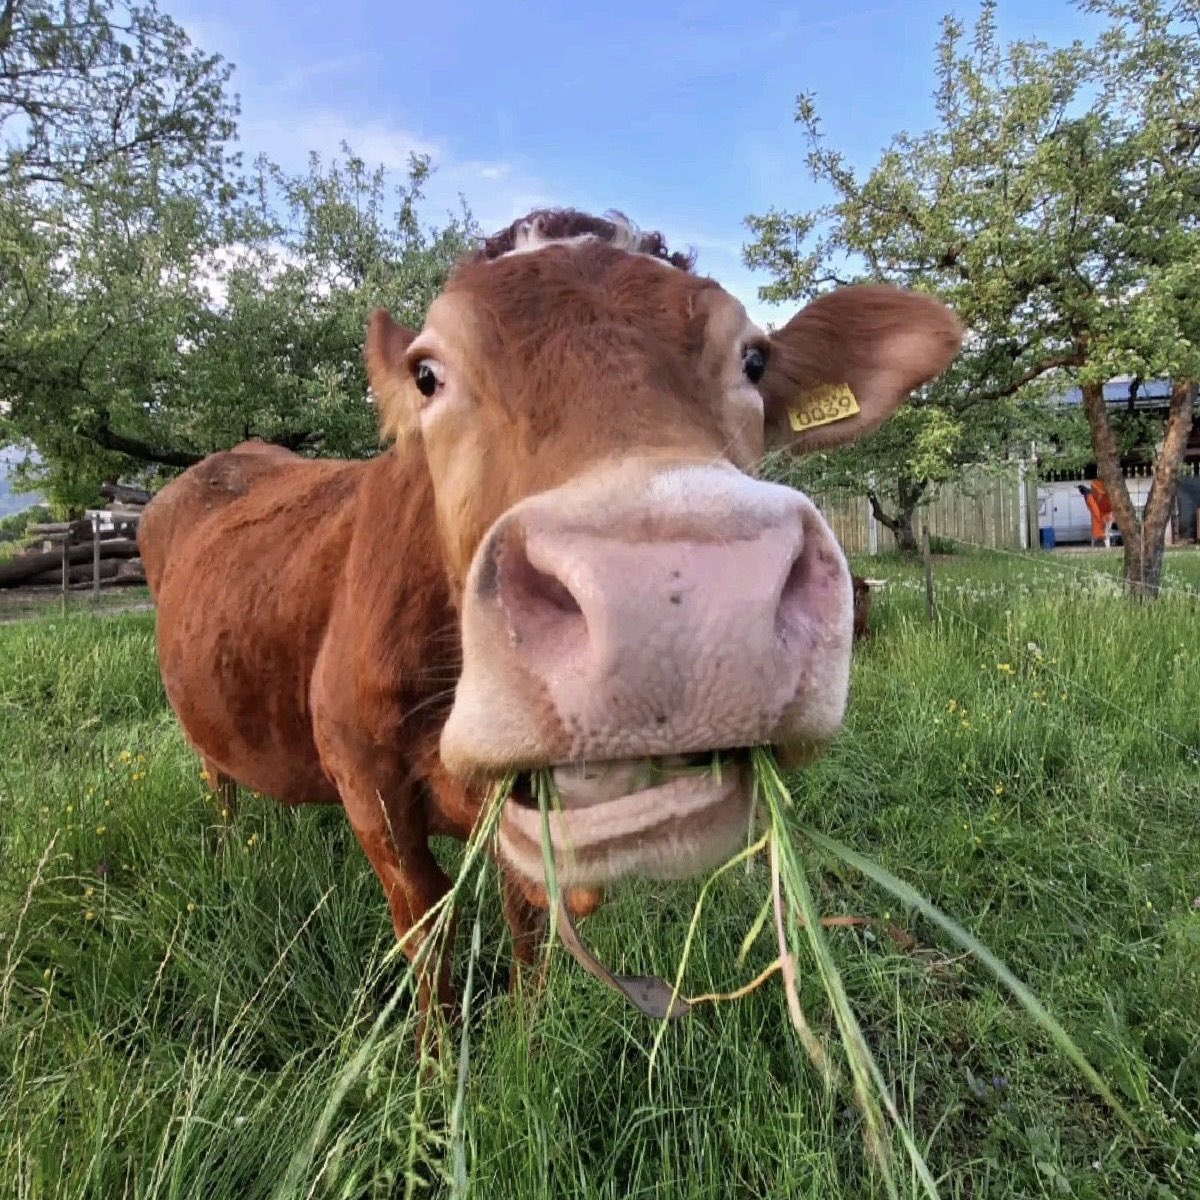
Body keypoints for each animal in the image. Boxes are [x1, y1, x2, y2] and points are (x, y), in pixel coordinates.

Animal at [139, 208, 962, 1039]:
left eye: (755, 360)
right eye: (427, 374)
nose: (671, 596)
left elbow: (528, 921)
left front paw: (527, 1036)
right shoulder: (366, 784)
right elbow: (429, 931)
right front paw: (436, 1059)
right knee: (219, 780)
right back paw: (233, 854)